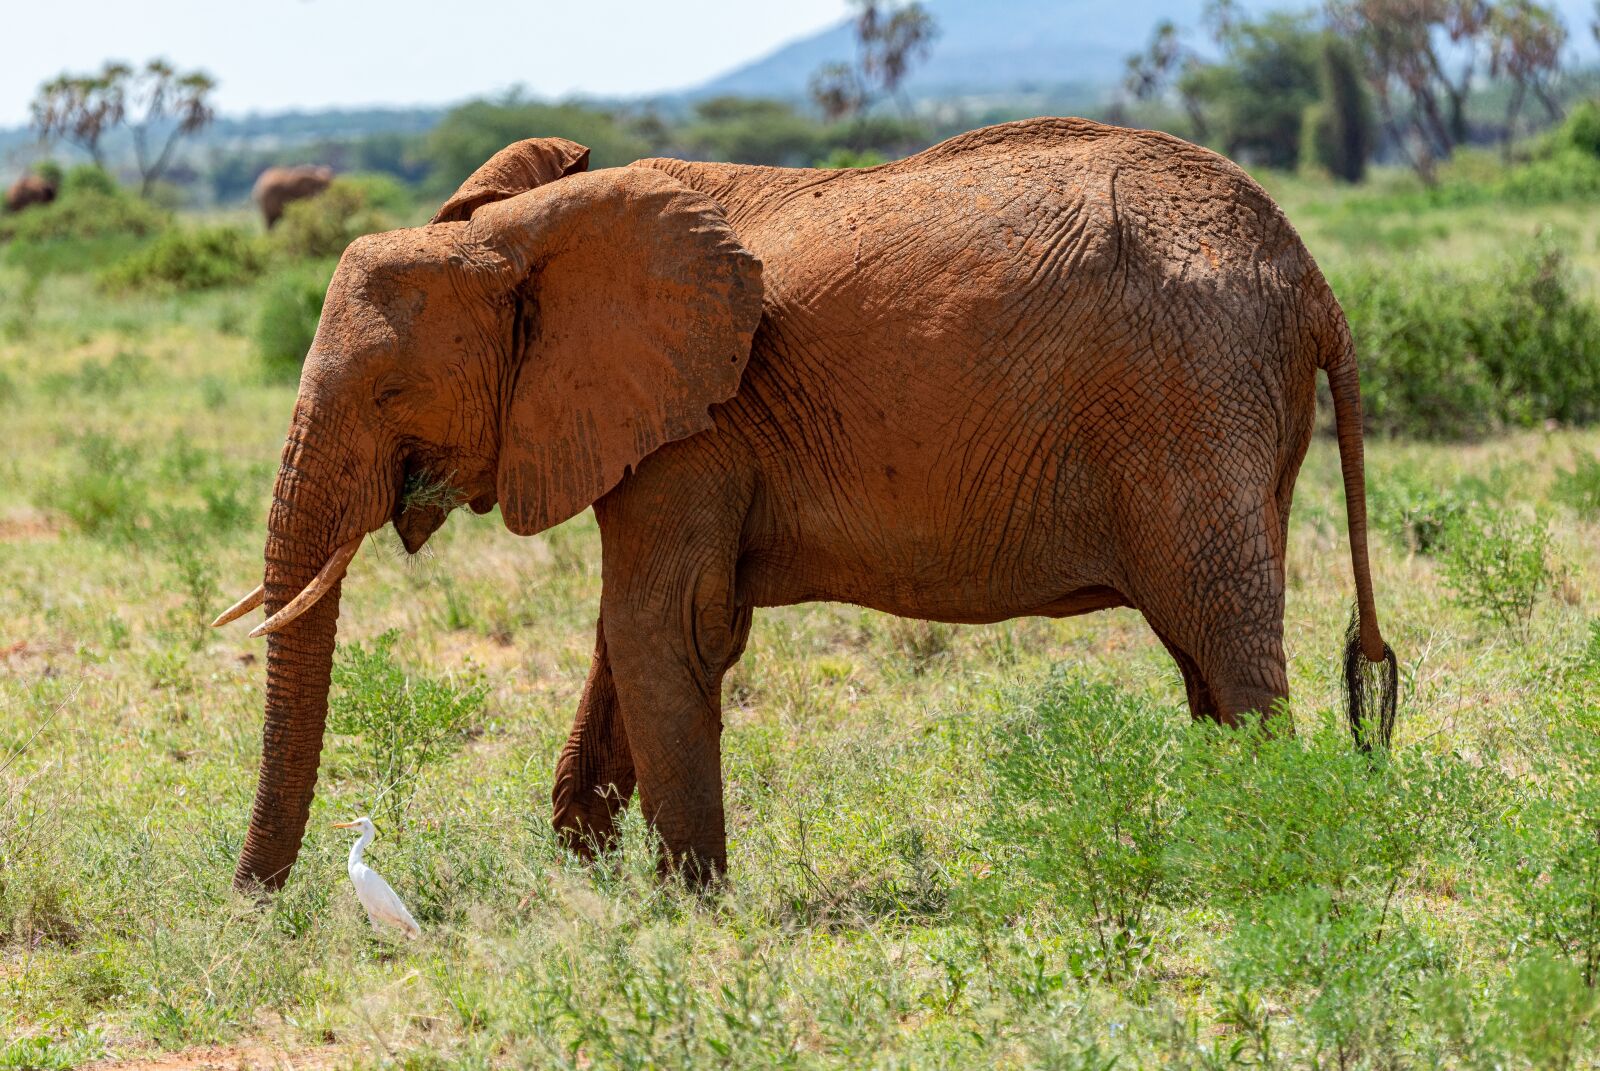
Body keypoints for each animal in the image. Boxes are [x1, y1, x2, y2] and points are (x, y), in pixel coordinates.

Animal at [214, 118, 1397, 891]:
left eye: (386, 392)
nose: (255, 903)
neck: (522, 232)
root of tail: (1315, 279)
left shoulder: (696, 419)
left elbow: (661, 625)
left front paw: (683, 908)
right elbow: (632, 633)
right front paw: (587, 876)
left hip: (1191, 399)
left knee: (1223, 640)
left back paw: (1267, 855)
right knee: (1203, 656)